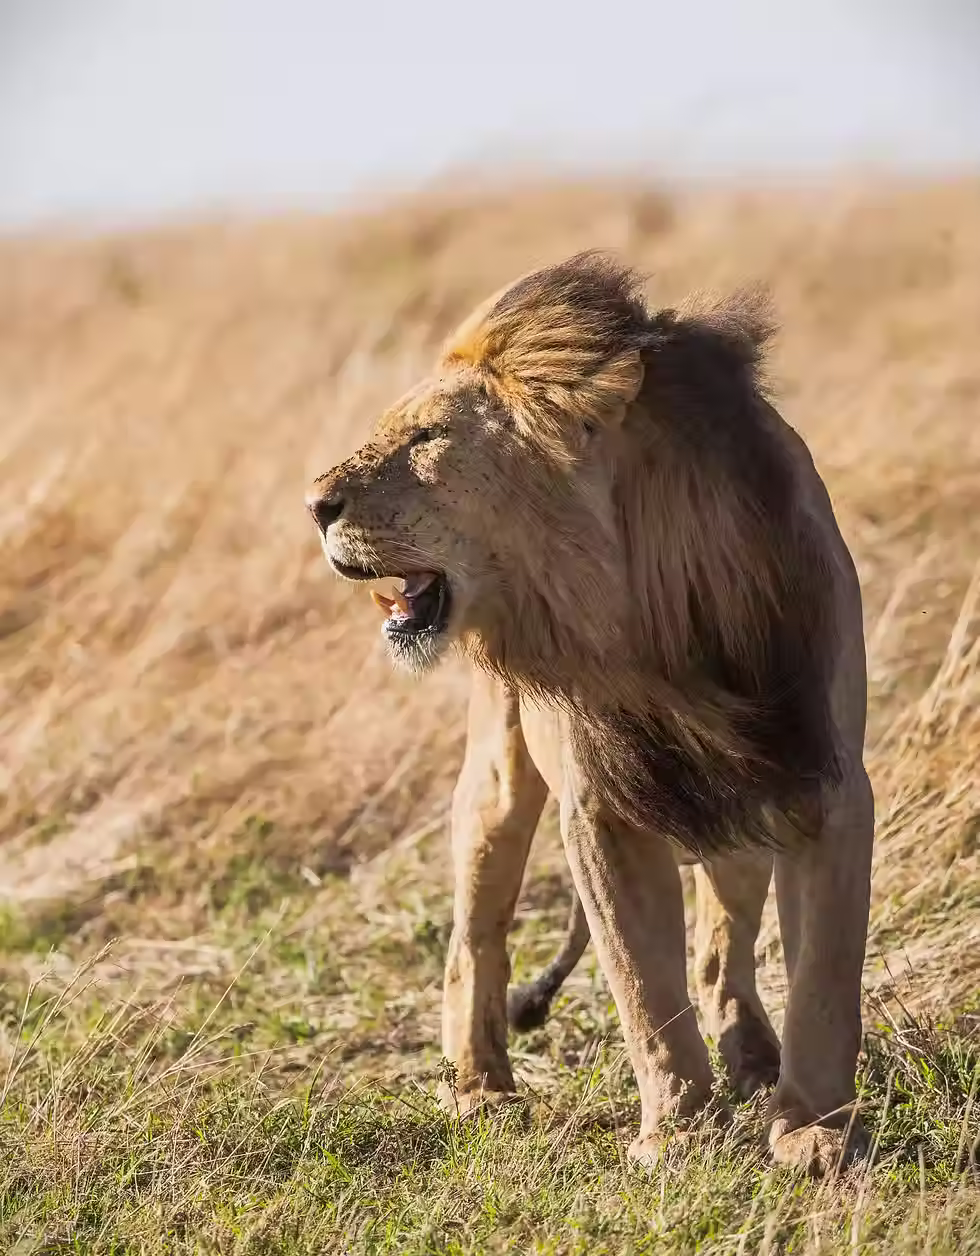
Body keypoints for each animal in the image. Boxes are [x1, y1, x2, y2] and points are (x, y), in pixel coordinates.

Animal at [306, 252, 874, 1174]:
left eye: (428, 438)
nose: (313, 506)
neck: (652, 617)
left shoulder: (818, 778)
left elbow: (825, 974)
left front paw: (815, 1134)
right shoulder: (601, 810)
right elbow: (643, 986)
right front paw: (677, 1135)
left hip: (737, 807)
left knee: (721, 945)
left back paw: (753, 1055)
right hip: (497, 781)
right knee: (474, 939)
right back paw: (481, 1089)